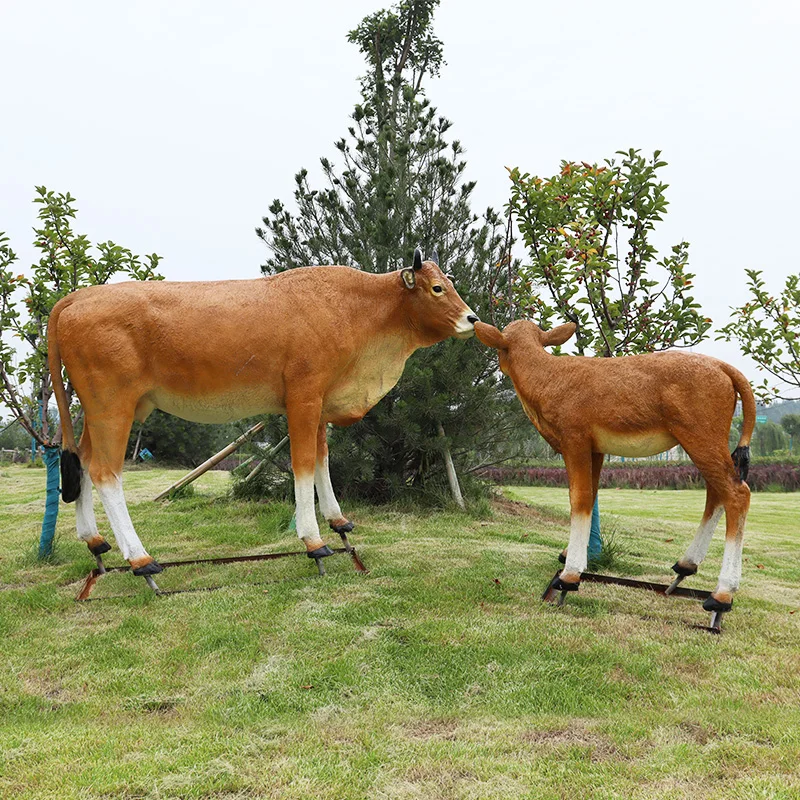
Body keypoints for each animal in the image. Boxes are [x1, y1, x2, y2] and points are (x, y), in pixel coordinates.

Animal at [48, 249, 478, 586]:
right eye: (437, 288)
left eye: (449, 282)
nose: (472, 319)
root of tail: (77, 297)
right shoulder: (303, 396)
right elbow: (302, 463)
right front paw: (314, 541)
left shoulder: (320, 402)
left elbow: (321, 460)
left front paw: (339, 522)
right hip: (112, 405)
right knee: (105, 472)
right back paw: (141, 561)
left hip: (98, 411)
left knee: (82, 461)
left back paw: (95, 542)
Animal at [473, 319, 755, 618]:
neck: (549, 377)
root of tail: (725, 368)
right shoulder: (596, 449)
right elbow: (592, 493)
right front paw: (570, 556)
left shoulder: (575, 439)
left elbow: (580, 498)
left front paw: (569, 576)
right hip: (706, 441)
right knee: (717, 492)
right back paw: (684, 567)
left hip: (699, 436)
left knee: (737, 493)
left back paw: (721, 595)